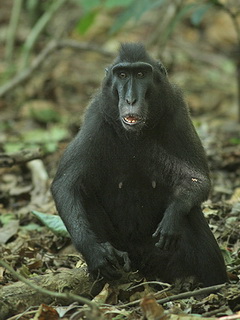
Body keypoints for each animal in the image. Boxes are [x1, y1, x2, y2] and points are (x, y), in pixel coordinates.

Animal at [51, 43, 228, 288]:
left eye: (141, 74)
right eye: (123, 75)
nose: (131, 100)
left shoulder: (178, 112)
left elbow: (197, 179)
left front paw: (173, 215)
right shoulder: (96, 119)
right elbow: (67, 185)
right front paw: (95, 252)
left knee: (190, 212)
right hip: (123, 248)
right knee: (84, 192)